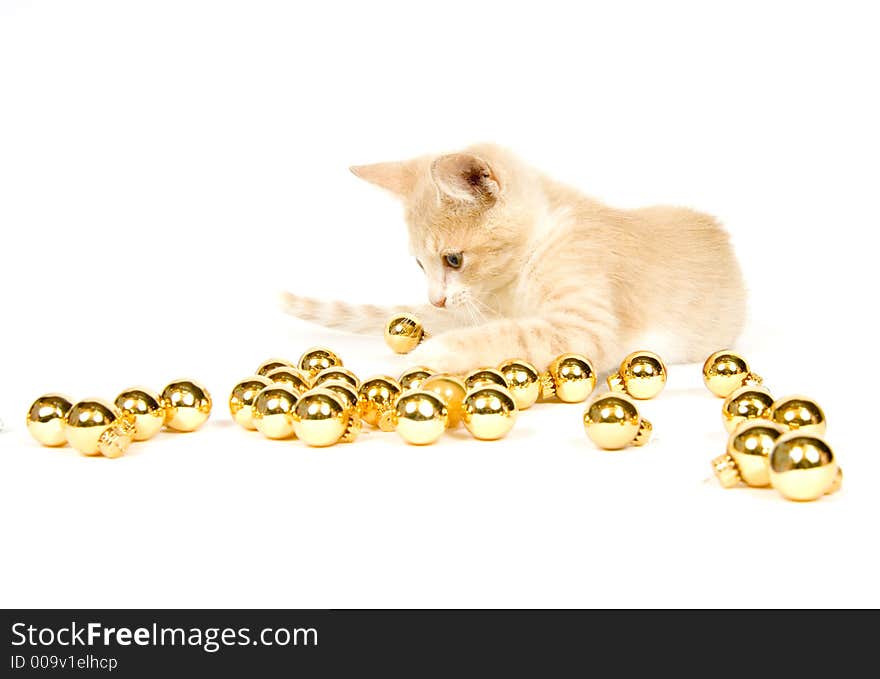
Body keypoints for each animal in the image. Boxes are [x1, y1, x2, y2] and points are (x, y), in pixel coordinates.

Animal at [280, 145, 744, 378]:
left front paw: (433, 353)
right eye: (419, 265)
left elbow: (509, 335)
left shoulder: (585, 324)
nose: (435, 301)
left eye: (453, 259)